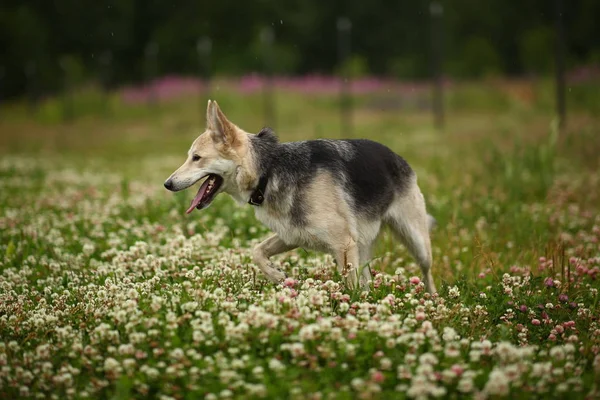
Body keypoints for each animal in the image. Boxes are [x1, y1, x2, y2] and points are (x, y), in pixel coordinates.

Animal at [164, 101, 436, 292]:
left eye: (196, 158)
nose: (167, 184)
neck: (268, 171)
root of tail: (397, 157)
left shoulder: (342, 245)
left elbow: (350, 289)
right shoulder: (292, 234)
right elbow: (257, 251)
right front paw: (277, 276)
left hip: (416, 242)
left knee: (426, 272)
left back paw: (432, 297)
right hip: (363, 246)